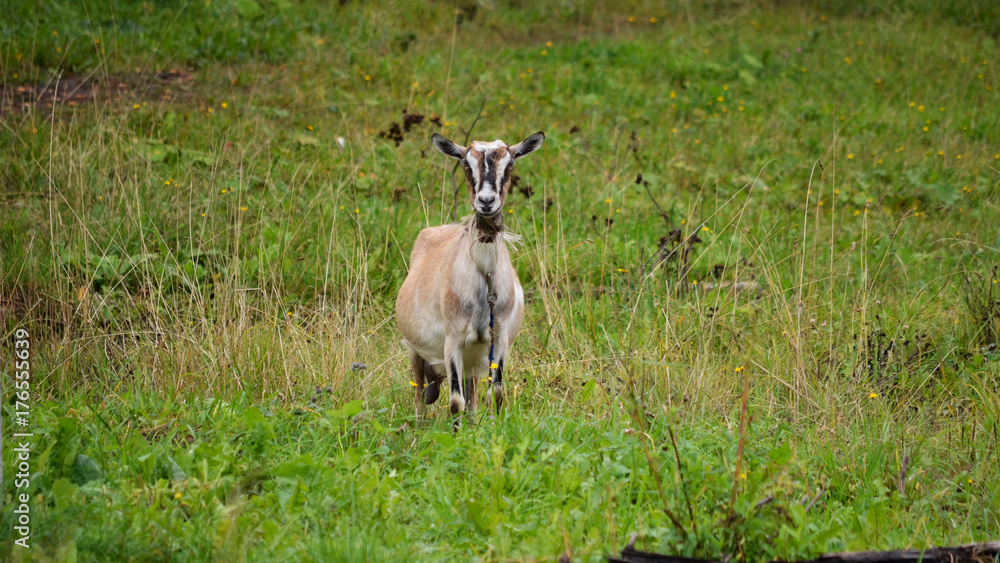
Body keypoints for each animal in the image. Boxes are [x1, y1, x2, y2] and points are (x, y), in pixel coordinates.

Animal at [394, 130, 548, 426]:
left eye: (510, 163)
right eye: (466, 163)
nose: (486, 202)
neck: (483, 276)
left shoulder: (498, 340)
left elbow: (496, 396)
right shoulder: (452, 340)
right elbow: (455, 402)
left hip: (473, 361)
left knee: (473, 400)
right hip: (415, 351)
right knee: (419, 398)